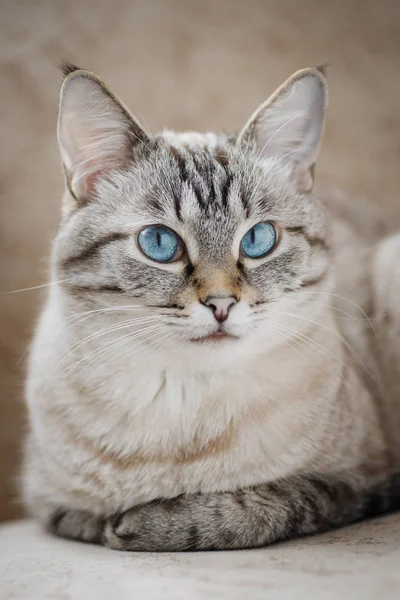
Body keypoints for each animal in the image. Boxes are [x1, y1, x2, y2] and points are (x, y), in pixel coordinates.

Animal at [23, 63, 400, 552]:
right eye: (159, 243)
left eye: (258, 239)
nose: (221, 304)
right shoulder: (45, 501)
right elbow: (76, 518)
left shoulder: (352, 485)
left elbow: (253, 508)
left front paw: (145, 524)